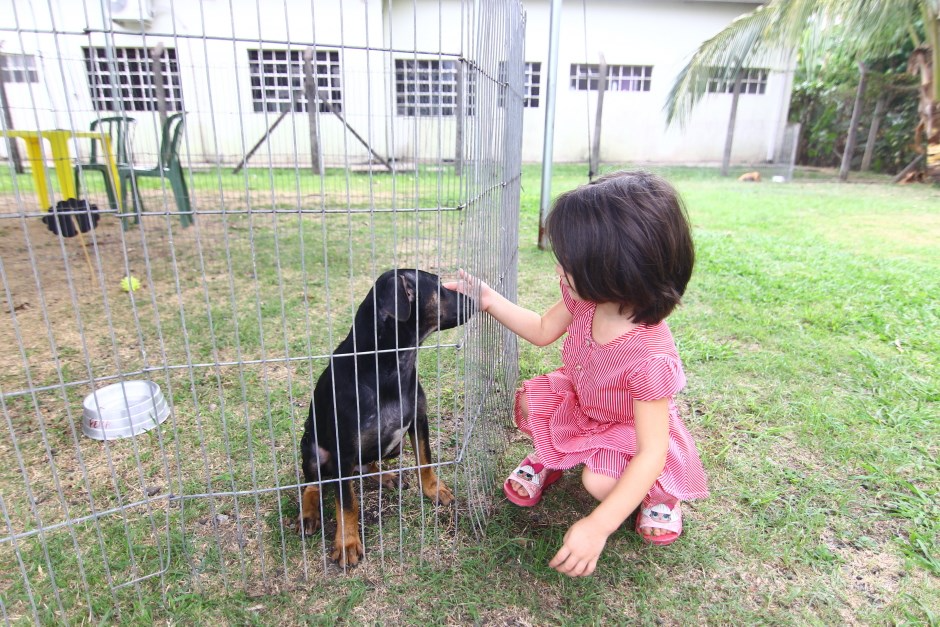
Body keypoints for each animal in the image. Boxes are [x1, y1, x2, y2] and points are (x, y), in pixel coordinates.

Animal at [300, 268, 478, 568]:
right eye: (439, 286)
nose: (476, 299)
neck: (388, 365)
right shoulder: (343, 448)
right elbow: (346, 502)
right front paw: (347, 543)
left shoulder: (419, 420)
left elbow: (425, 460)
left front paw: (433, 489)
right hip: (312, 448)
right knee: (313, 484)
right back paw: (309, 514)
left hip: (393, 447)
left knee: (365, 466)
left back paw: (386, 477)